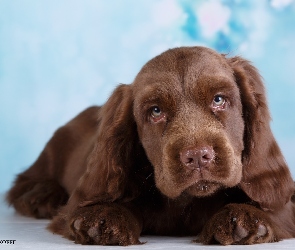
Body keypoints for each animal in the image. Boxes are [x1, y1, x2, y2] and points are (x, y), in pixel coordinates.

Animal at [6, 46, 295, 245]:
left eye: (219, 99)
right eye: (156, 111)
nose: (197, 156)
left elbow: (278, 210)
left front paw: (245, 216)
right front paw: (104, 215)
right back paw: (41, 195)